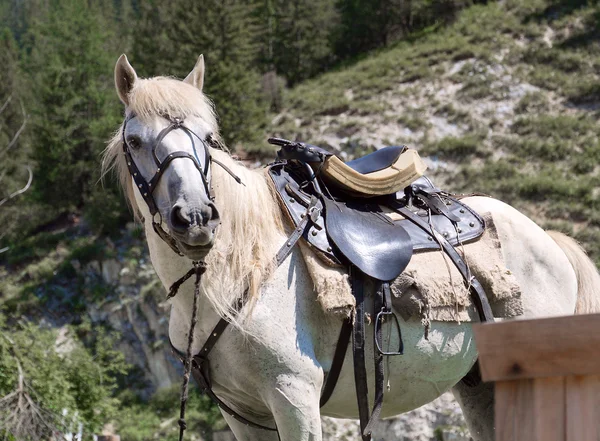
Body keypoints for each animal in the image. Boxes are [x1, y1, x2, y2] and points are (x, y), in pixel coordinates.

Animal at [105, 55, 600, 440]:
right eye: (135, 140)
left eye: (208, 139)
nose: (195, 218)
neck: (235, 273)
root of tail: (549, 239)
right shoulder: (243, 414)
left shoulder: (293, 396)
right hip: (481, 385)